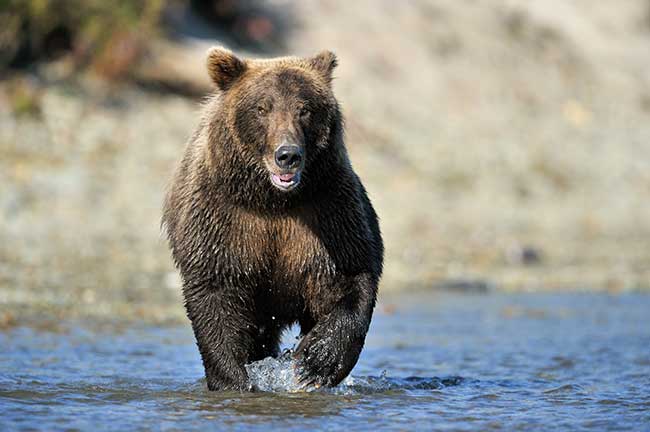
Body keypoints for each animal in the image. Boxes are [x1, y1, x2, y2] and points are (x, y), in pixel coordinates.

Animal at [162, 47, 382, 392]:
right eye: (262, 108)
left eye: (305, 109)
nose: (287, 154)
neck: (271, 201)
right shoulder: (224, 219)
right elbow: (215, 295)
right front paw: (235, 380)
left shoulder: (327, 212)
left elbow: (348, 278)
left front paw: (315, 362)